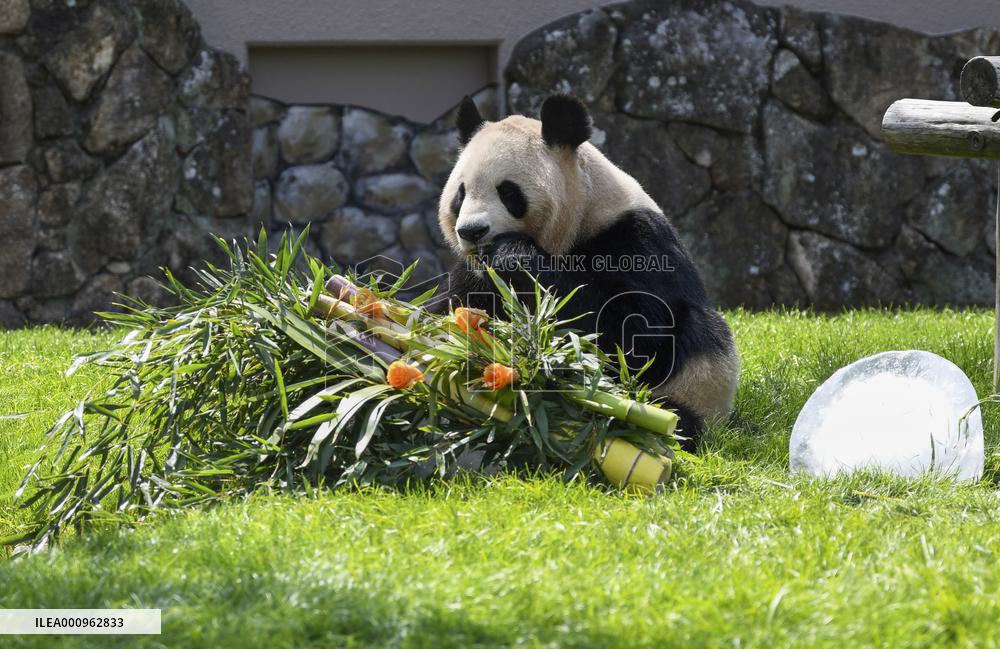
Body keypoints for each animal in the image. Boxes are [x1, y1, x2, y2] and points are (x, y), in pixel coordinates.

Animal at [436, 94, 739, 449]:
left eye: (508, 192)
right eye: (460, 194)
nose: (471, 231)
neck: (582, 214)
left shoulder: (634, 239)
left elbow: (632, 332)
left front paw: (511, 257)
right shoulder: (468, 276)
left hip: (699, 382)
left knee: (698, 338)